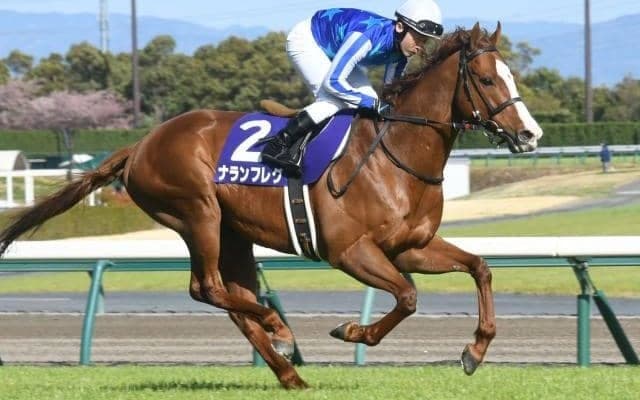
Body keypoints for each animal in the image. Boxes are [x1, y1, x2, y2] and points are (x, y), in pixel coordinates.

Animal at [0, 23, 542, 389]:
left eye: (511, 76)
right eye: (488, 81)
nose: (530, 135)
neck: (395, 154)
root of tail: (140, 144)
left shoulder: (410, 246)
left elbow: (479, 267)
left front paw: (474, 350)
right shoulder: (349, 251)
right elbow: (407, 297)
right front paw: (352, 330)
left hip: (233, 233)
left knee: (230, 297)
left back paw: (287, 369)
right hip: (198, 213)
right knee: (208, 288)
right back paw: (279, 329)